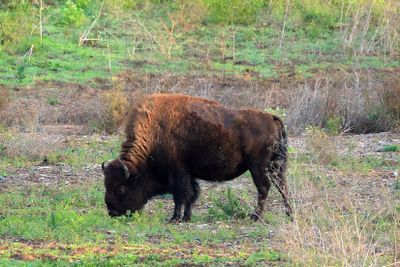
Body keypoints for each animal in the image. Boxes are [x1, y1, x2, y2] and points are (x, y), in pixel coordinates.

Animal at [101, 93, 292, 223]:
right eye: (106, 184)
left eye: (121, 188)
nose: (112, 212)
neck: (154, 133)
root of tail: (270, 117)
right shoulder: (188, 174)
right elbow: (192, 194)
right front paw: (187, 217)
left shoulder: (177, 173)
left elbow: (180, 195)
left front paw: (175, 218)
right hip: (275, 166)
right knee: (282, 186)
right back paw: (289, 215)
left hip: (258, 167)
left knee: (264, 187)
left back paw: (255, 216)